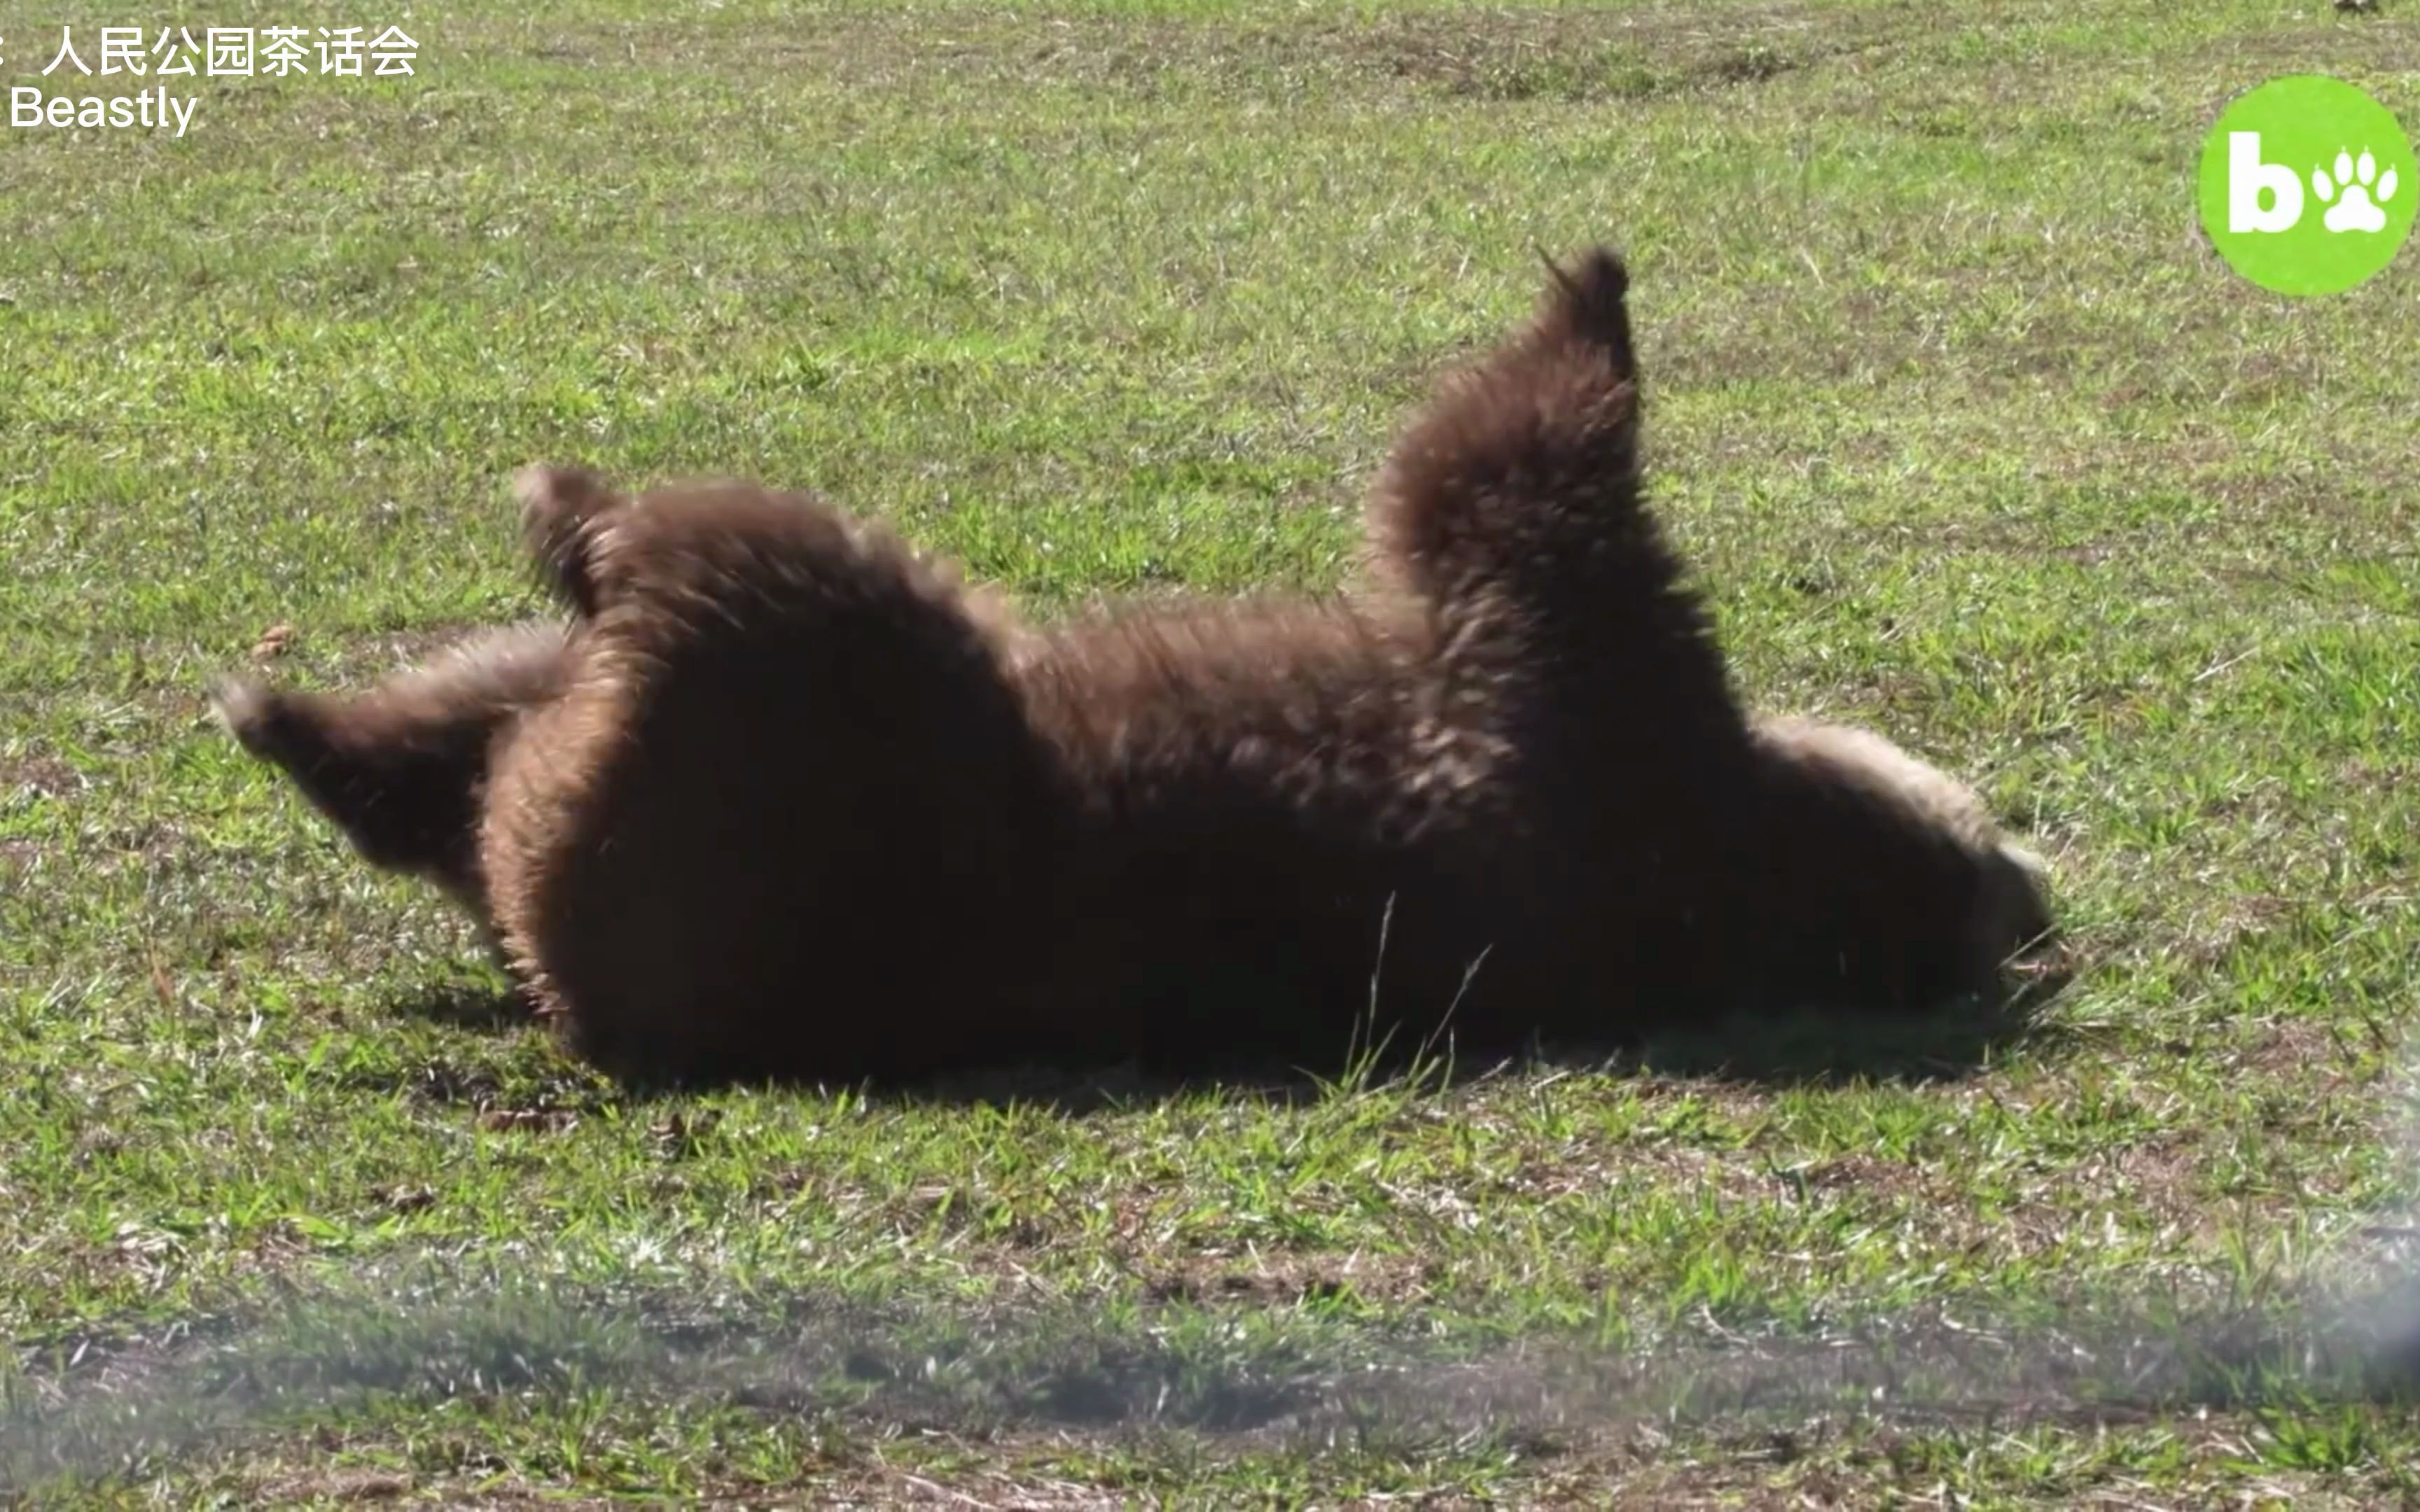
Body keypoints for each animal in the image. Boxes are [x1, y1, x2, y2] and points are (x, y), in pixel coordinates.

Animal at [218, 253, 2052, 1088]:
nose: (2023, 874)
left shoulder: (1577, 723)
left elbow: (1498, 487)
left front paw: (1585, 307)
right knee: (497, 738)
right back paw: (328, 715)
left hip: (810, 762)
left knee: (713, 590)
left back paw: (549, 535)